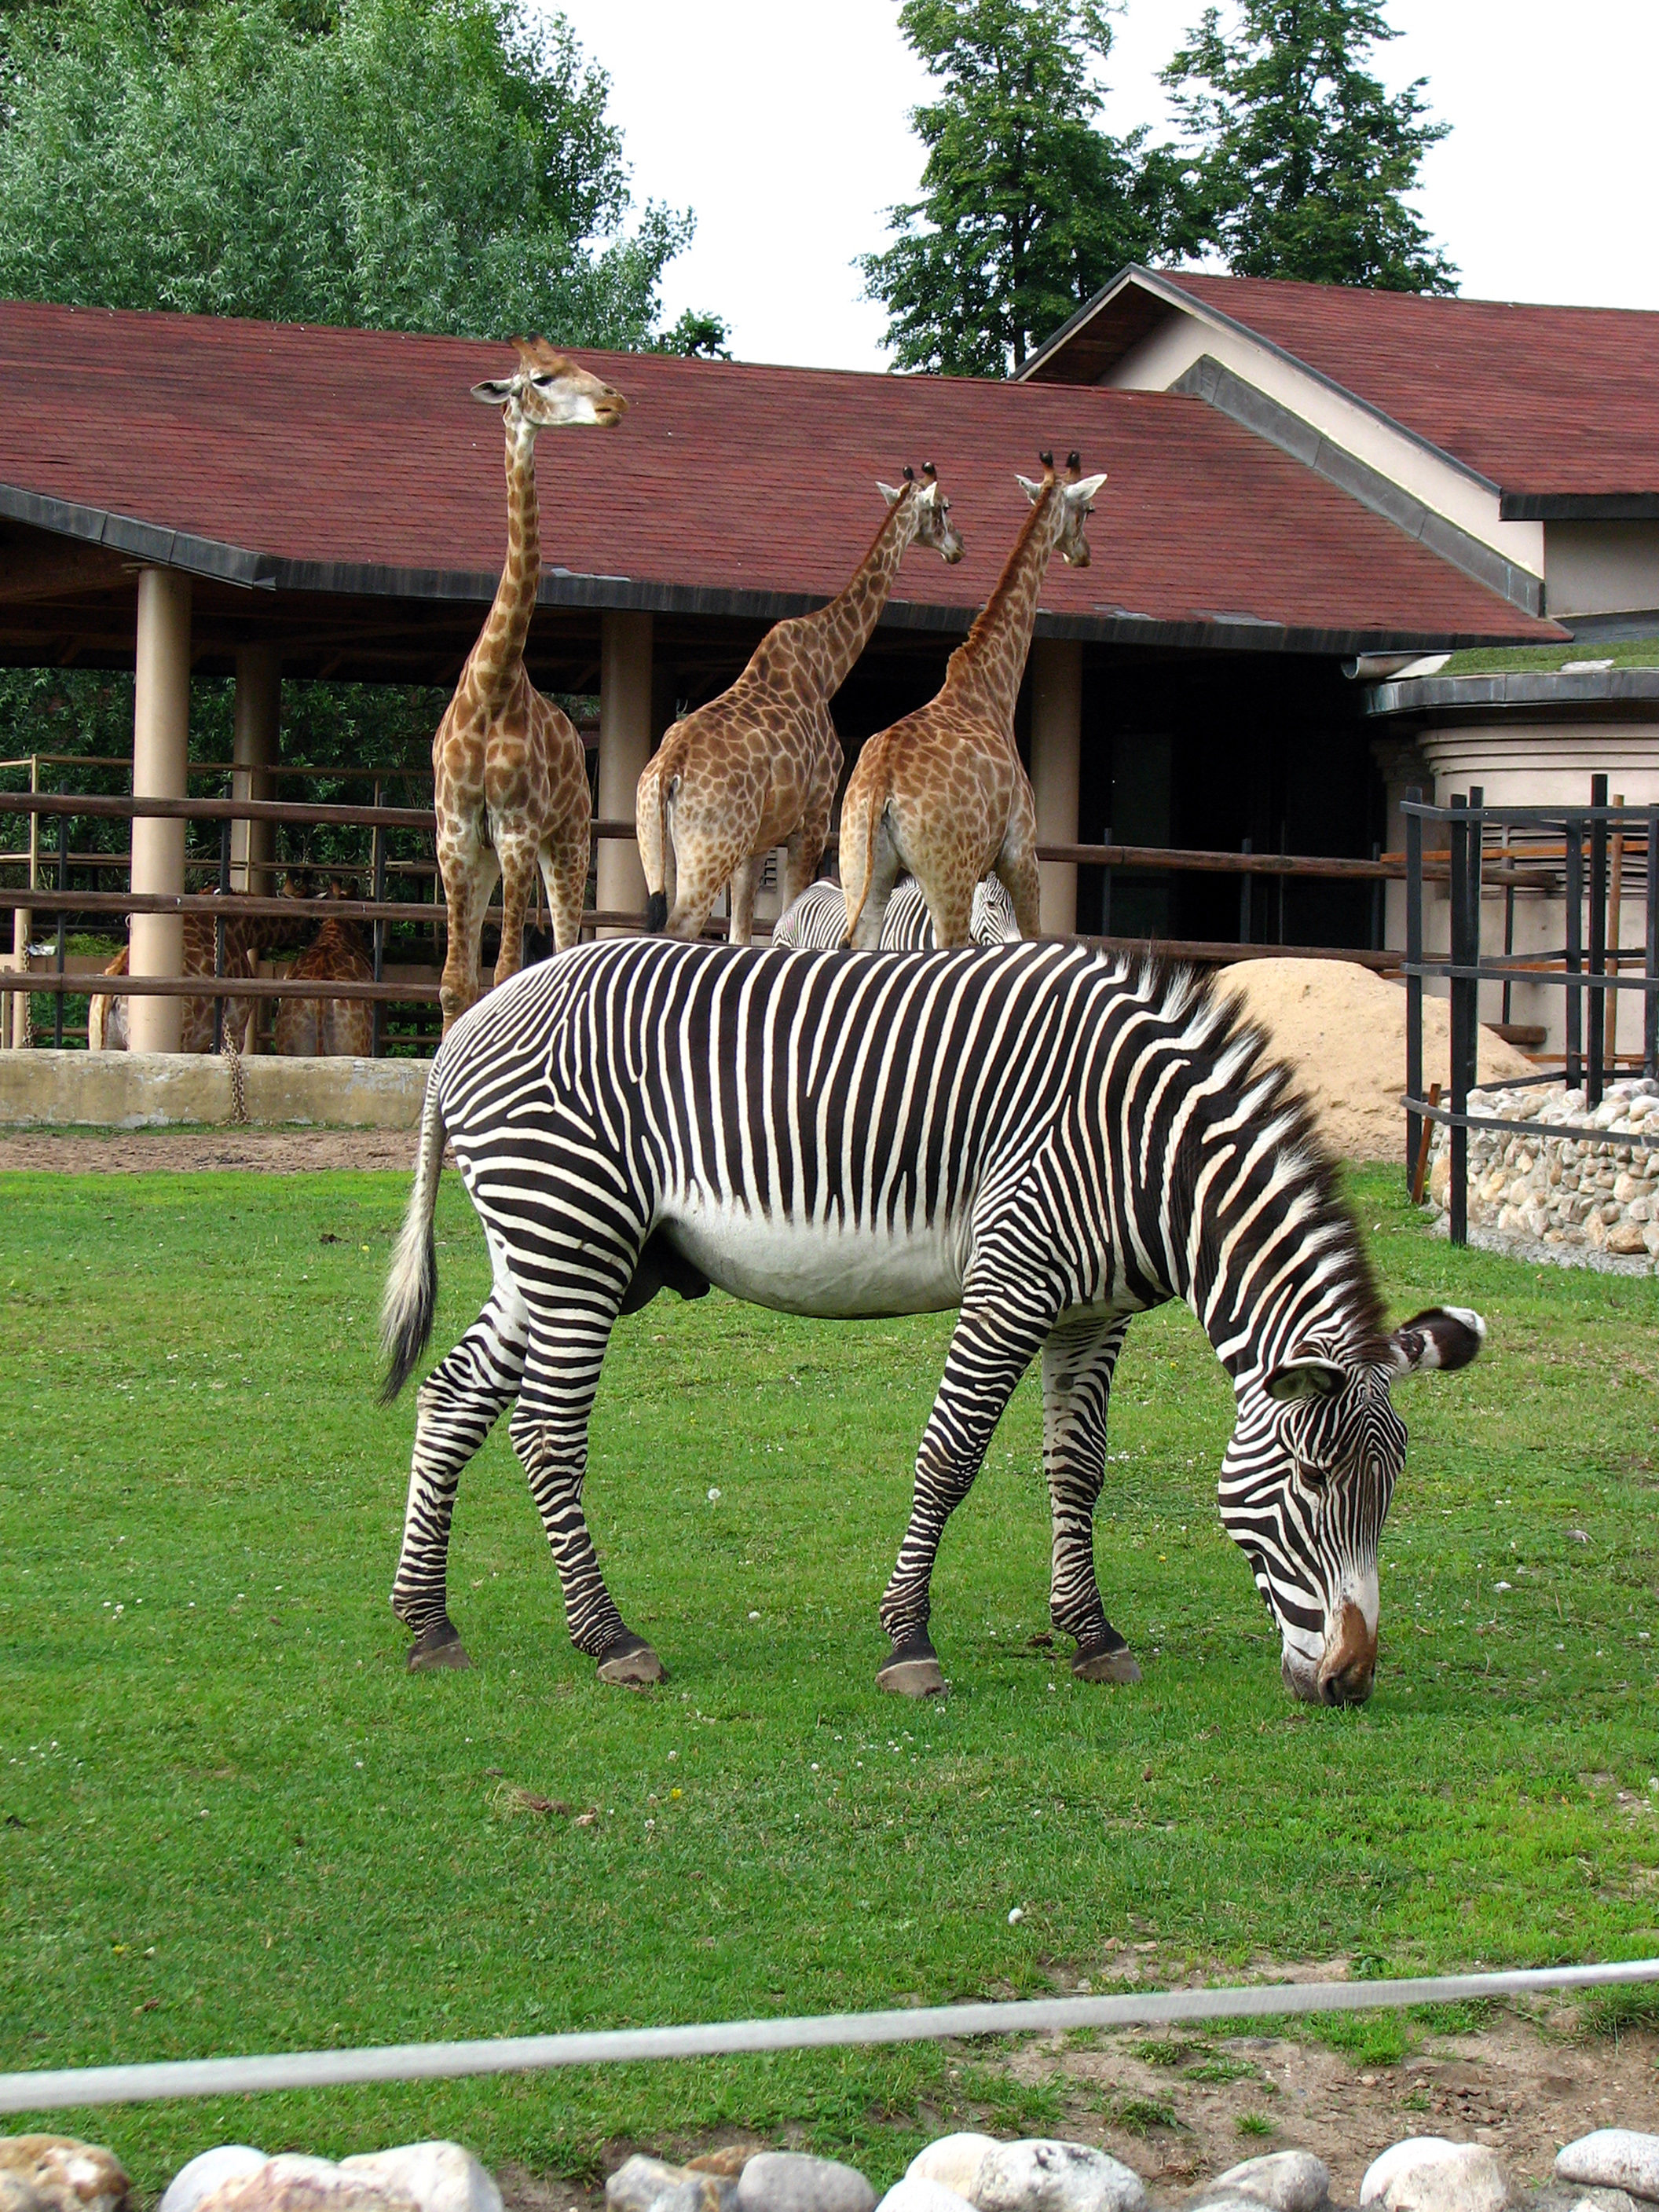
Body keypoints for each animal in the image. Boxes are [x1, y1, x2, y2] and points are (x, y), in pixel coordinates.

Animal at [383, 942, 1486, 1698]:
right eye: (1312, 1481)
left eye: (1391, 1488)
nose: (1350, 1681)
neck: (1150, 1149)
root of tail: (472, 1022)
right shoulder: (1013, 1276)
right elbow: (950, 1456)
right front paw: (909, 1641)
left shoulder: (1093, 1312)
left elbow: (1077, 1468)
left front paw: (1093, 1635)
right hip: (571, 1233)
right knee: (545, 1431)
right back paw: (609, 1637)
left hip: (554, 1253)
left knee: (453, 1396)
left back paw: (428, 1624)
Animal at [431, 336, 628, 1035]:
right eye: (543, 377)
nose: (614, 403)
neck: (492, 685)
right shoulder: (457, 835)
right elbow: (455, 986)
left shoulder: (517, 832)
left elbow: (504, 974)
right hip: (491, 857)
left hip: (567, 841)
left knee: (569, 945)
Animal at [641, 467, 973, 942]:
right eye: (944, 507)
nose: (959, 547)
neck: (827, 666)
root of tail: (667, 770)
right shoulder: (814, 817)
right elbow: (787, 912)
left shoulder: (757, 841)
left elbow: (741, 933)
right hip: (711, 849)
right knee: (679, 928)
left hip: (658, 846)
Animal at [844, 449, 1106, 950]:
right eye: (1088, 509)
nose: (1084, 554)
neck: (994, 685)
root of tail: (882, 784)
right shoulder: (1022, 851)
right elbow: (1036, 933)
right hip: (949, 875)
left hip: (861, 867)